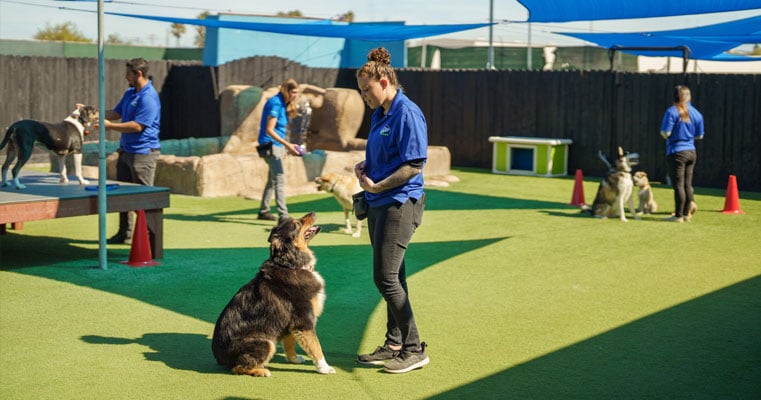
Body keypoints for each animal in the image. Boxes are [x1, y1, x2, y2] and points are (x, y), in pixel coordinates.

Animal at [211, 211, 336, 376]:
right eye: (296, 224)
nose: (314, 212)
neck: (291, 265)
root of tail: (219, 358)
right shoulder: (303, 321)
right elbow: (316, 347)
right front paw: (324, 368)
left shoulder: (291, 322)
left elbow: (290, 342)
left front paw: (293, 359)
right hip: (266, 343)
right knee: (238, 367)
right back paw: (262, 371)